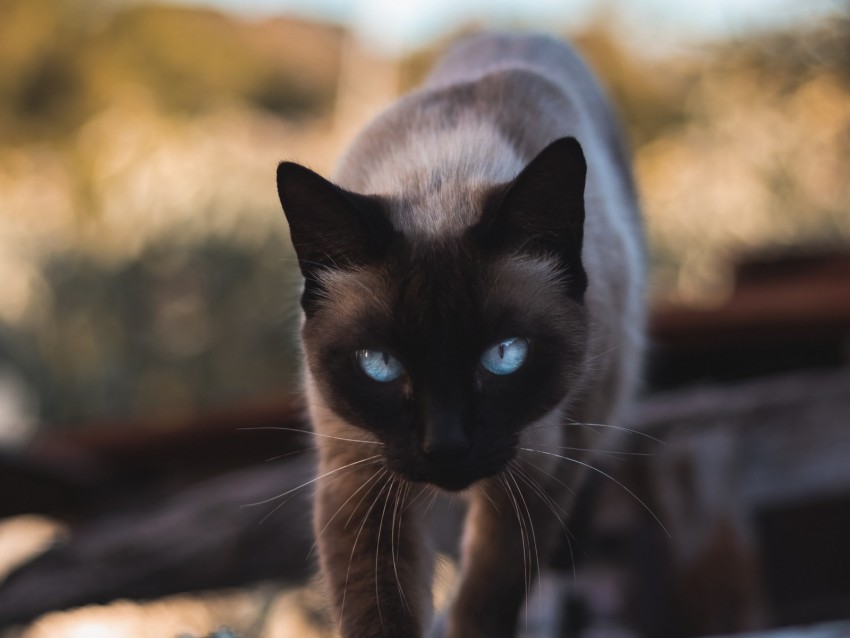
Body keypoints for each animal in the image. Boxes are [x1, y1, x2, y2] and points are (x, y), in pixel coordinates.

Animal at [276, 33, 644, 638]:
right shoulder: (359, 477)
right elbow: (376, 613)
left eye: (504, 356)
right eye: (378, 364)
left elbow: (488, 597)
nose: (444, 445)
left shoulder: (541, 468)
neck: (441, 172)